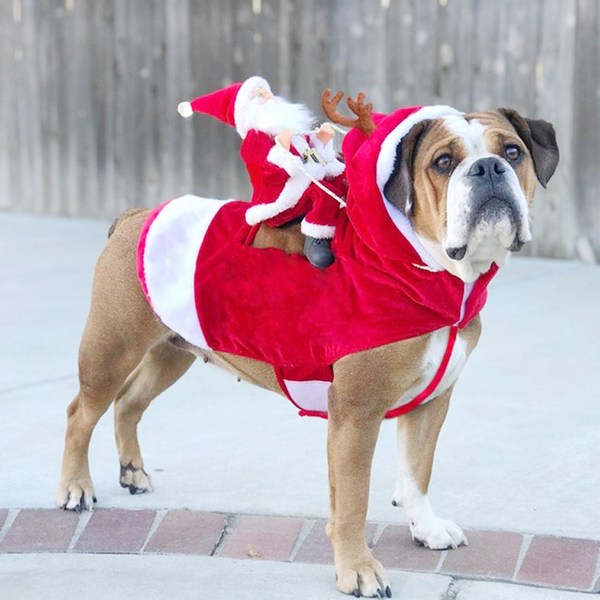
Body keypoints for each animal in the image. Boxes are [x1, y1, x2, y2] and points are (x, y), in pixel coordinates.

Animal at [56, 92, 556, 596]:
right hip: (111, 350)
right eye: (443, 162)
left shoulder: (432, 402)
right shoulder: (356, 415)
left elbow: (417, 472)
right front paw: (359, 570)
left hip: (171, 351)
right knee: (82, 412)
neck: (423, 267)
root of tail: (137, 215)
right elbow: (353, 500)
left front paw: (426, 528)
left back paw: (133, 472)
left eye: (513, 152)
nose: (489, 168)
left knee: (130, 403)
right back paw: (75, 488)